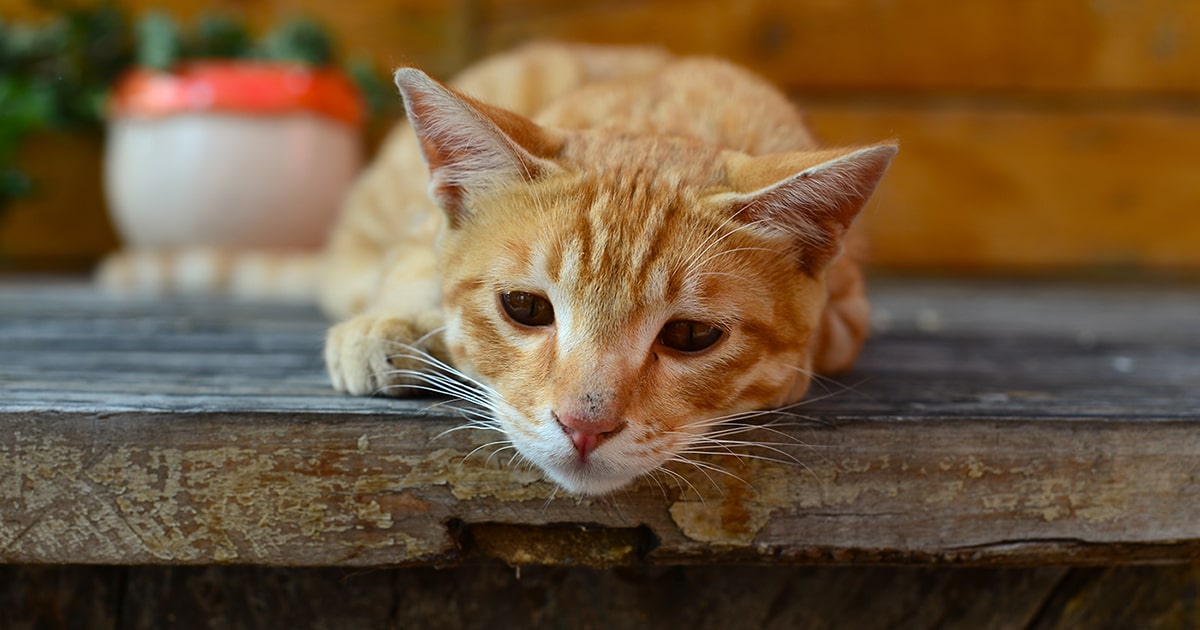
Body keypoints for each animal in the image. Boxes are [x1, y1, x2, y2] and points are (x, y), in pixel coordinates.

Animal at [319, 44, 892, 496]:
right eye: (524, 307)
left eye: (691, 334)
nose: (584, 427)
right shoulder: (421, 231)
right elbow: (415, 264)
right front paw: (389, 323)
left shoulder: (848, 312)